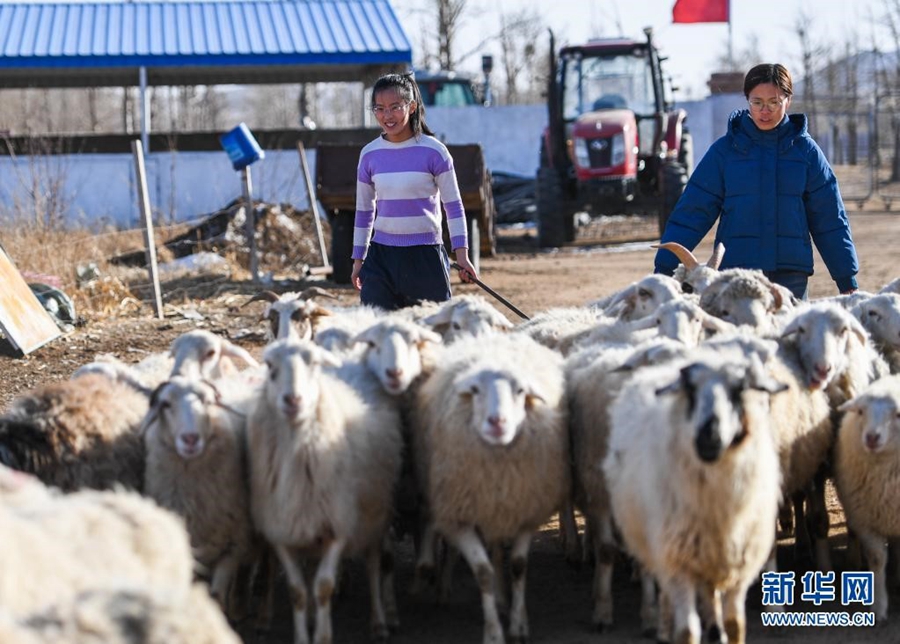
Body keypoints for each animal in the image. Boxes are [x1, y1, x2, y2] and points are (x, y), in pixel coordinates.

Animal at [246, 340, 400, 640]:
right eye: (270, 366)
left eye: (314, 365)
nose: (293, 400)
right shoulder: (282, 530)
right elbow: (297, 591)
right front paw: (303, 634)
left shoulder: (338, 526)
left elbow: (324, 587)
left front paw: (323, 636)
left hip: (375, 514)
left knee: (374, 564)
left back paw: (379, 621)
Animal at [412, 334, 568, 640]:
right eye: (475, 390)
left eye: (520, 390)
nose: (497, 422)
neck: (499, 470)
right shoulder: (458, 517)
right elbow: (483, 572)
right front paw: (494, 632)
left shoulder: (525, 511)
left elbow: (518, 566)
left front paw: (518, 624)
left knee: (496, 547)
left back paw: (503, 598)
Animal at [604, 354, 788, 640]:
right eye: (690, 390)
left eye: (739, 388)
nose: (708, 437)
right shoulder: (679, 564)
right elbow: (687, 631)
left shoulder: (739, 565)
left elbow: (735, 625)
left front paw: (726, 631)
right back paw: (662, 627)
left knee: (711, 600)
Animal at [832, 374, 900, 620]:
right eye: (861, 411)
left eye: (898, 414)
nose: (871, 437)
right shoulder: (865, 519)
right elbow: (877, 559)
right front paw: (879, 607)